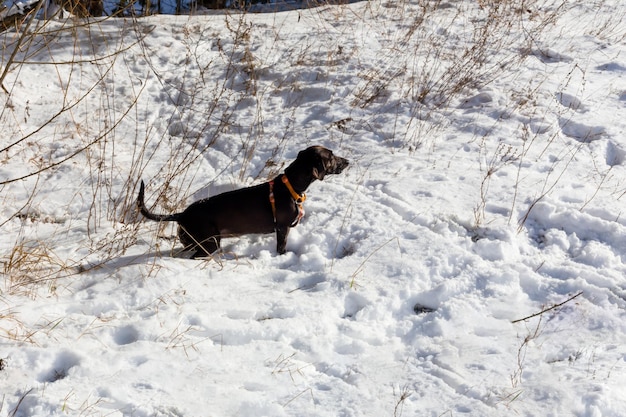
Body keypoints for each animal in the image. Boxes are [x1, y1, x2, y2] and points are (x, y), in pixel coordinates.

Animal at [135, 145, 346, 256]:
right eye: (331, 156)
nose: (347, 161)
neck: (291, 186)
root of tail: (182, 214)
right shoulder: (283, 227)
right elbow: (281, 246)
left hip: (194, 241)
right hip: (210, 243)